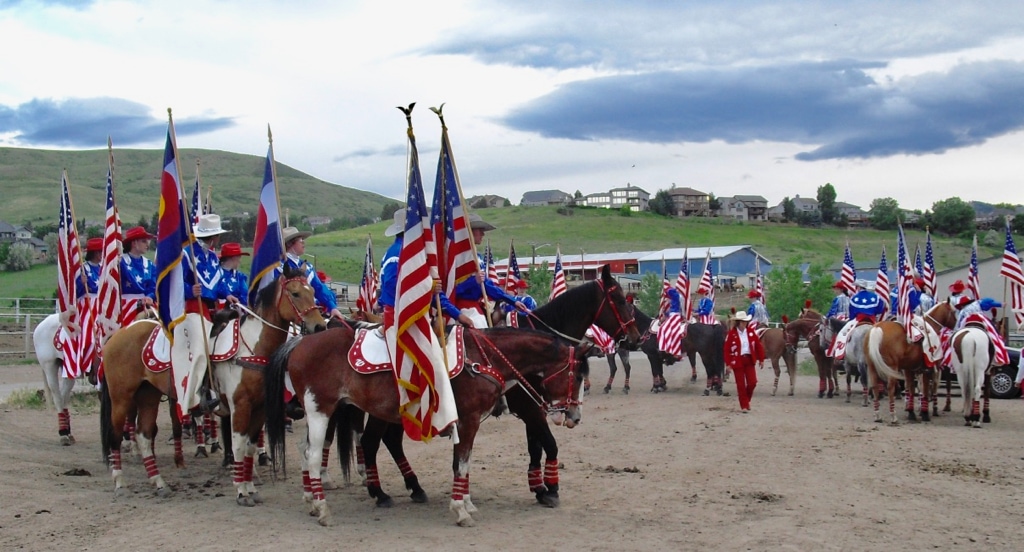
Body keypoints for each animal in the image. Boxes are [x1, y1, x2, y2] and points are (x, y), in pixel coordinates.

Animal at [205, 266, 321, 507]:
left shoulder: (259, 408)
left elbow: (249, 446)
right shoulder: (240, 407)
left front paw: (250, 487)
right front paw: (241, 492)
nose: (319, 325)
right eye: (295, 293)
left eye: (313, 291)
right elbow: (239, 445)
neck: (252, 352)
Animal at [264, 325, 593, 528]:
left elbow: (463, 463)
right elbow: (463, 462)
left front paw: (466, 502)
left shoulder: (467, 423)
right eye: (578, 376)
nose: (575, 416)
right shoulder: (468, 420)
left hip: (323, 413)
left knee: (307, 450)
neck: (480, 359)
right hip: (321, 410)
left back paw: (312, 500)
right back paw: (323, 508)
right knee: (315, 455)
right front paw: (460, 510)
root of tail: (299, 341)